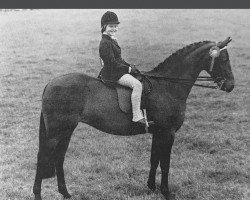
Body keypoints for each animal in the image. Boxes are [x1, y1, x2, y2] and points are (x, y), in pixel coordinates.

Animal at [32, 37, 234, 198]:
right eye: (223, 59)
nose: (231, 85)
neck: (168, 86)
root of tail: (50, 83)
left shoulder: (158, 133)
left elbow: (154, 159)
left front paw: (151, 187)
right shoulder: (167, 133)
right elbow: (165, 163)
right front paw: (166, 192)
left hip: (66, 131)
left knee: (59, 157)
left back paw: (65, 193)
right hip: (56, 132)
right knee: (43, 156)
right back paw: (38, 194)